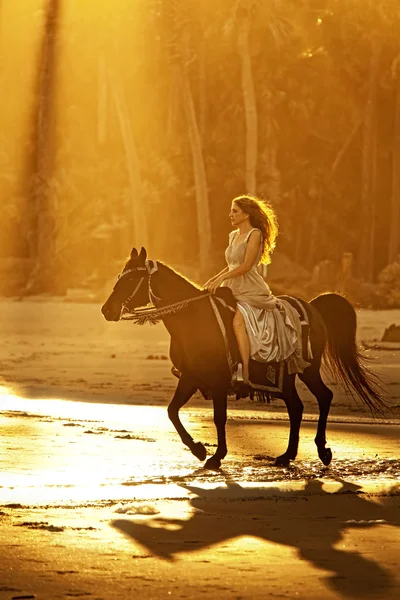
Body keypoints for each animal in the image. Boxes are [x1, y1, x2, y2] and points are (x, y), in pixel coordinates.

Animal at [101, 246, 386, 472]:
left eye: (131, 278)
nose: (106, 310)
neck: (192, 319)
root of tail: (312, 308)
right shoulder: (190, 377)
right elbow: (172, 411)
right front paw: (198, 449)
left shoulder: (217, 380)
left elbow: (219, 417)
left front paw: (216, 456)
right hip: (287, 378)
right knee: (296, 407)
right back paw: (287, 455)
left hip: (308, 370)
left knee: (324, 397)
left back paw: (322, 450)